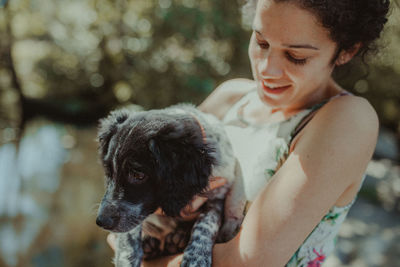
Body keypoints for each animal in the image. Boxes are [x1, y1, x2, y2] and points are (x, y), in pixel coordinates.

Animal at [96, 104, 245, 267]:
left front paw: (196, 257)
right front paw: (127, 258)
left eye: (138, 175)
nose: (101, 222)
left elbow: (206, 224)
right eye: (109, 171)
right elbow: (129, 237)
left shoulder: (218, 196)